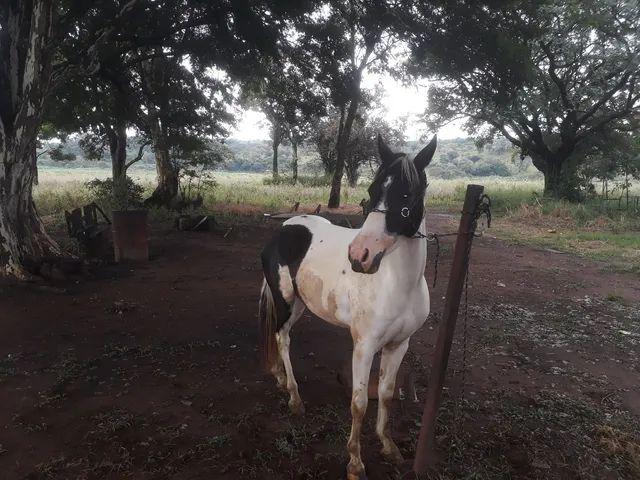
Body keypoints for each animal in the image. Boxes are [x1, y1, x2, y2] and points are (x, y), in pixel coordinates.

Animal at [258, 133, 438, 478]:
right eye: (372, 191)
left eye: (407, 194)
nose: (360, 256)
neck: (398, 283)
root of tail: (285, 227)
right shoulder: (364, 346)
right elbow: (359, 403)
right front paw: (355, 462)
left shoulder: (399, 344)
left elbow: (386, 395)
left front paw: (389, 447)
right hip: (285, 300)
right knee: (282, 339)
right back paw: (294, 397)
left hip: (299, 304)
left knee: (278, 336)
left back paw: (279, 378)